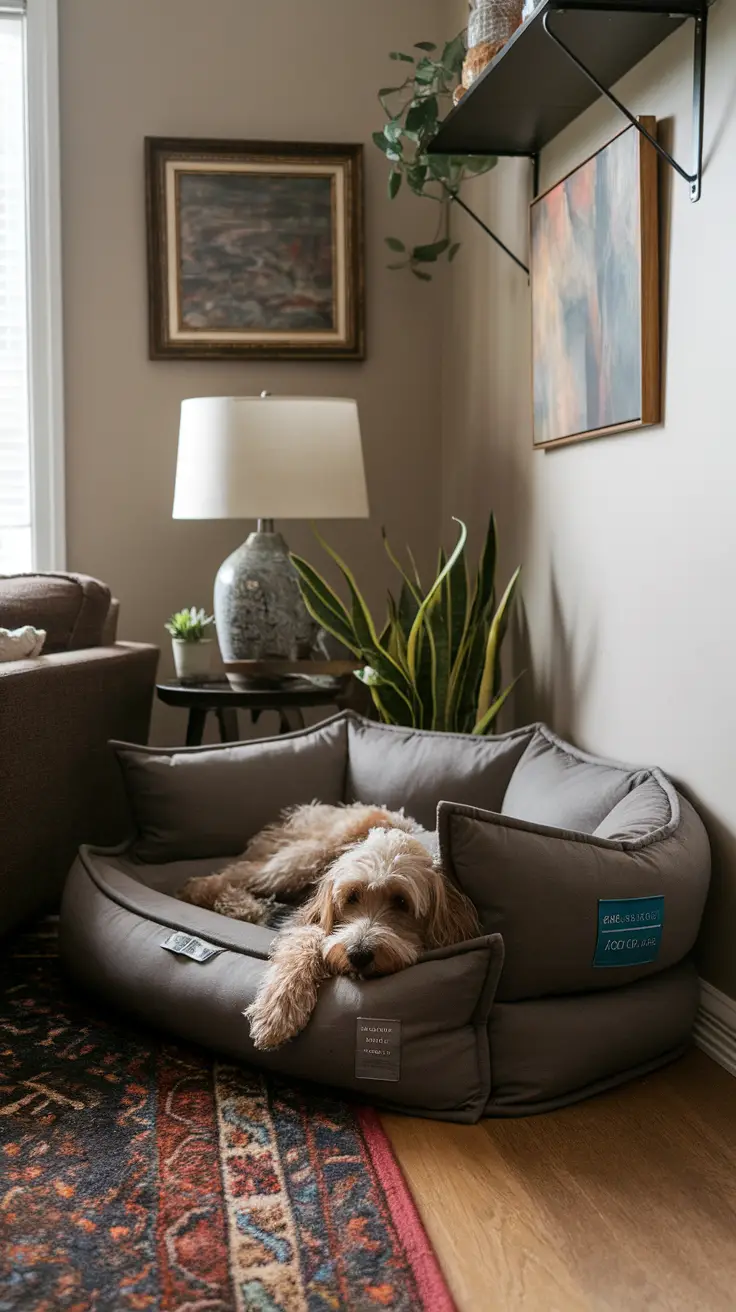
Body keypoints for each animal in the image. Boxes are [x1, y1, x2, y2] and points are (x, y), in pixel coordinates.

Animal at [175, 797, 480, 1044]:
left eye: (402, 902)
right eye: (352, 896)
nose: (358, 954)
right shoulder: (308, 918)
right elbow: (306, 938)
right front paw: (280, 1011)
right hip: (301, 860)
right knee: (218, 878)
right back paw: (240, 904)